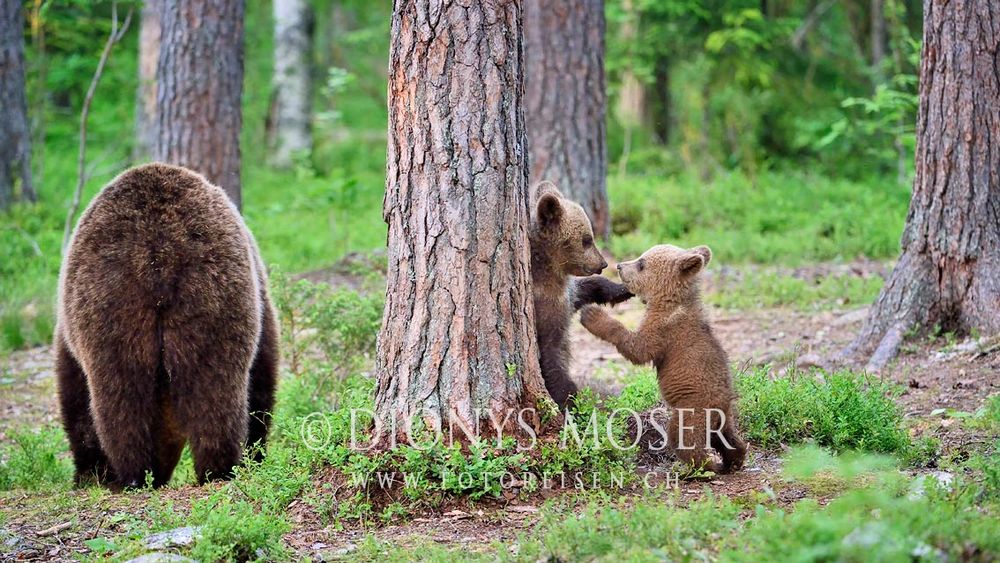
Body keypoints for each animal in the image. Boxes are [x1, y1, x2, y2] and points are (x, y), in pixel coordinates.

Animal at [56, 163, 280, 490]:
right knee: (210, 389)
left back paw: (140, 474)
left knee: (127, 395)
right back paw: (213, 468)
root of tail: (158, 253)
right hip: (200, 297)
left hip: (119, 300)